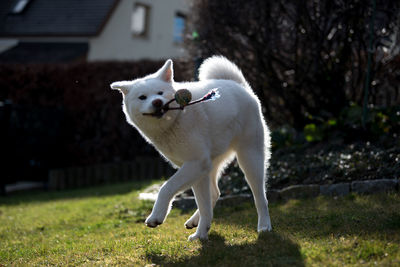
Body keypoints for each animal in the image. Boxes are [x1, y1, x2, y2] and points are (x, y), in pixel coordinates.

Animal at [111, 56, 270, 241]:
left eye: (160, 93)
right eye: (142, 97)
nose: (157, 102)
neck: (175, 121)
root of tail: (239, 85)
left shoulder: (196, 163)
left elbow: (166, 188)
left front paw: (156, 216)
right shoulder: (195, 166)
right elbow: (203, 205)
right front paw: (201, 234)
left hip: (249, 158)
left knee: (260, 197)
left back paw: (264, 226)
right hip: (210, 167)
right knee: (214, 194)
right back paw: (195, 222)